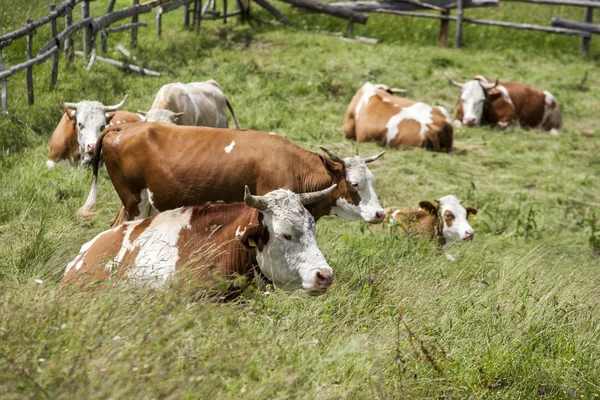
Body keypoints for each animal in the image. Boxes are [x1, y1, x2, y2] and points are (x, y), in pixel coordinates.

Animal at [76, 123, 384, 227]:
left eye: (373, 182)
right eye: (354, 184)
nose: (380, 213)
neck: (291, 164)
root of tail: (125, 127)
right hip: (134, 202)